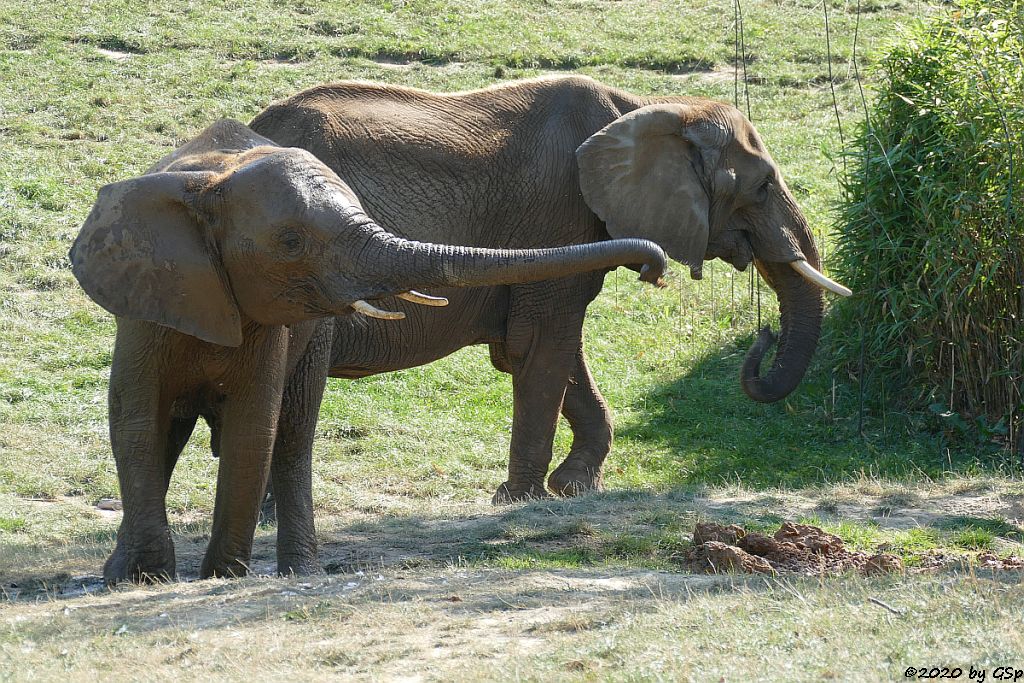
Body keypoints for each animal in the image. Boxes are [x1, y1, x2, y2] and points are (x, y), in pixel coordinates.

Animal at [68, 117, 667, 581]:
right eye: (291, 243)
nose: (653, 269)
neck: (212, 181)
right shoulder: (144, 303)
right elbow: (137, 423)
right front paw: (146, 577)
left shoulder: (275, 320)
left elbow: (251, 427)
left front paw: (221, 576)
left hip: (314, 330)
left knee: (291, 434)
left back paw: (299, 571)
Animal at [249, 76, 856, 511]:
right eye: (763, 186)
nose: (764, 334)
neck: (649, 108)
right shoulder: (559, 214)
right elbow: (541, 345)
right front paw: (520, 499)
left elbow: (548, 352)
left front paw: (573, 486)